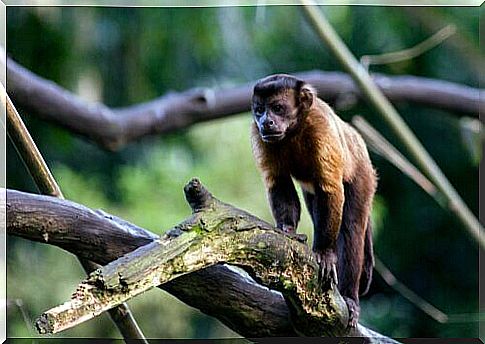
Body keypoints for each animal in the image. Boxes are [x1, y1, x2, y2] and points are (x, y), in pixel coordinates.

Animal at [251, 74, 376, 326]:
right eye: (259, 110)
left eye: (277, 108)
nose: (266, 122)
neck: (294, 130)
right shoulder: (259, 135)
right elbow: (278, 181)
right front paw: (287, 230)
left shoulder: (320, 127)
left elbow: (331, 189)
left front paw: (324, 253)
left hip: (363, 174)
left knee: (351, 226)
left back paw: (350, 297)